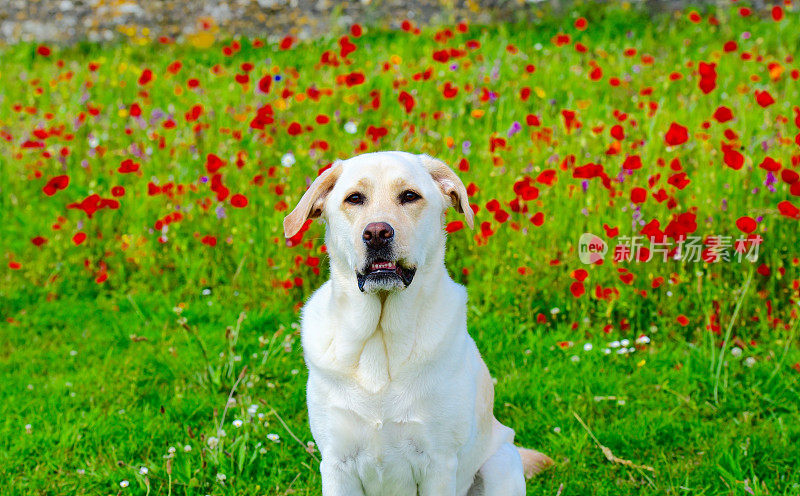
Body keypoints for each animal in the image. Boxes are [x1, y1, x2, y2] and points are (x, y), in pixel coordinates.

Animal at [282, 152, 552, 496]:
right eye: (354, 198)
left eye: (409, 196)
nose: (377, 233)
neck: (380, 336)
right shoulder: (336, 463)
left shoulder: (439, 462)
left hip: (501, 462)